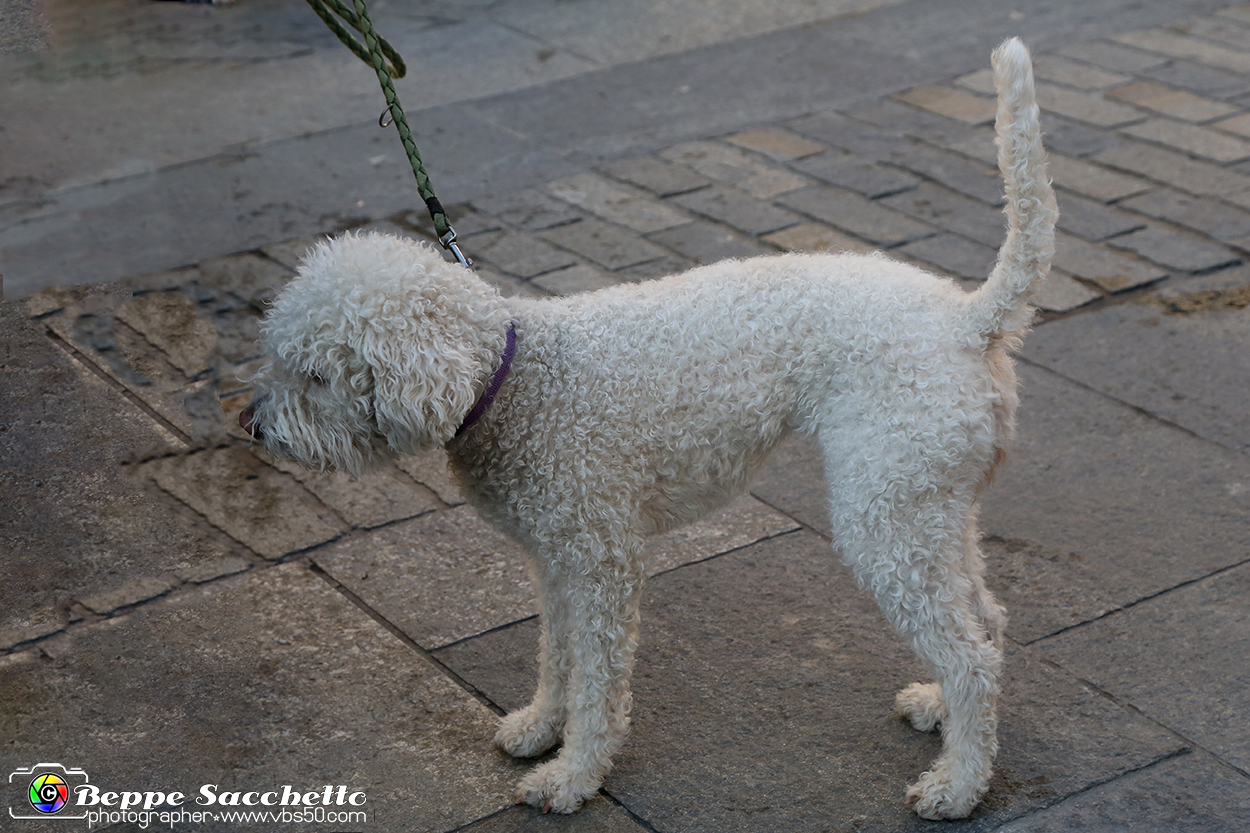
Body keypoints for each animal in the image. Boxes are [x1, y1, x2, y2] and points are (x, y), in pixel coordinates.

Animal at [238, 37, 1050, 815]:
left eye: (315, 374)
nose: (251, 426)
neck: (512, 378)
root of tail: (969, 318)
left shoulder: (602, 563)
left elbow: (597, 685)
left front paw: (573, 776)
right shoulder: (557, 561)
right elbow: (556, 656)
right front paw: (540, 728)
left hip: (887, 512)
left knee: (972, 654)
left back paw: (957, 787)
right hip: (931, 504)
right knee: (985, 621)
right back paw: (942, 713)